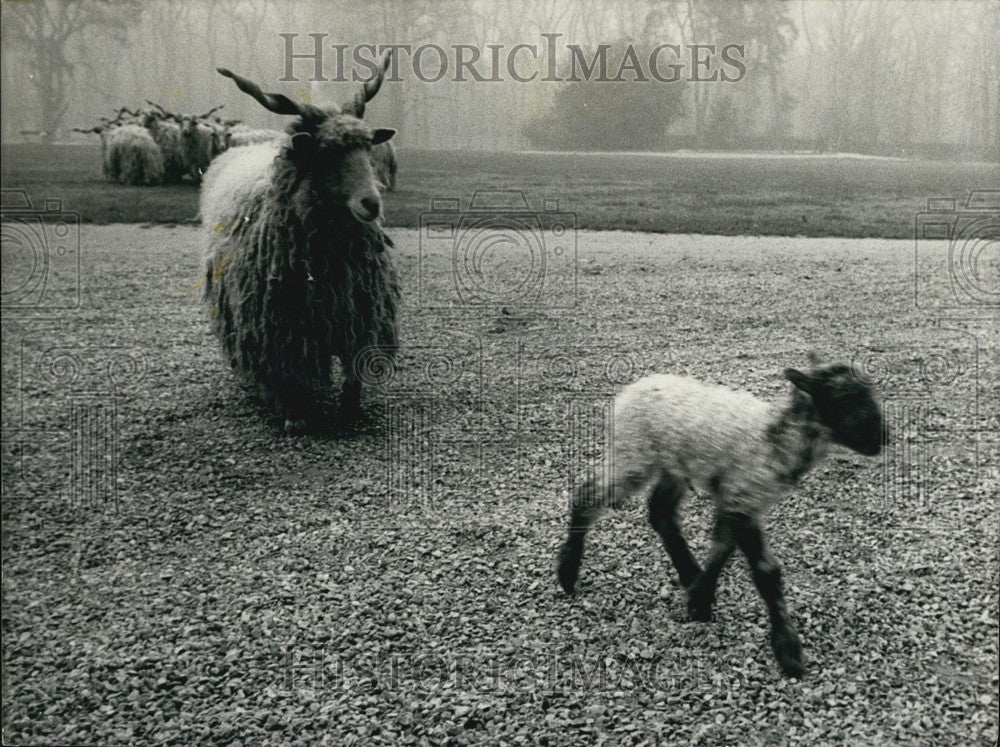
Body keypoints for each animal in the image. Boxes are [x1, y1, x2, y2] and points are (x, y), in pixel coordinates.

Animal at [201, 51, 400, 432]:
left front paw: (349, 412)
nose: (371, 203)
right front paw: (295, 415)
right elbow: (286, 370)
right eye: (324, 151)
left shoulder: (357, 313)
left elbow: (354, 369)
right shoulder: (281, 324)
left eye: (369, 146)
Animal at [556, 360, 892, 680]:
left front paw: (699, 599)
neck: (775, 440)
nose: (884, 438)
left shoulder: (735, 498)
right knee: (587, 496)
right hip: (633, 454)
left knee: (661, 512)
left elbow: (721, 548)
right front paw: (788, 649)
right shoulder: (742, 496)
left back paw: (688, 571)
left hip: (673, 464)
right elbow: (766, 571)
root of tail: (634, 388)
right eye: (845, 398)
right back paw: (567, 573)